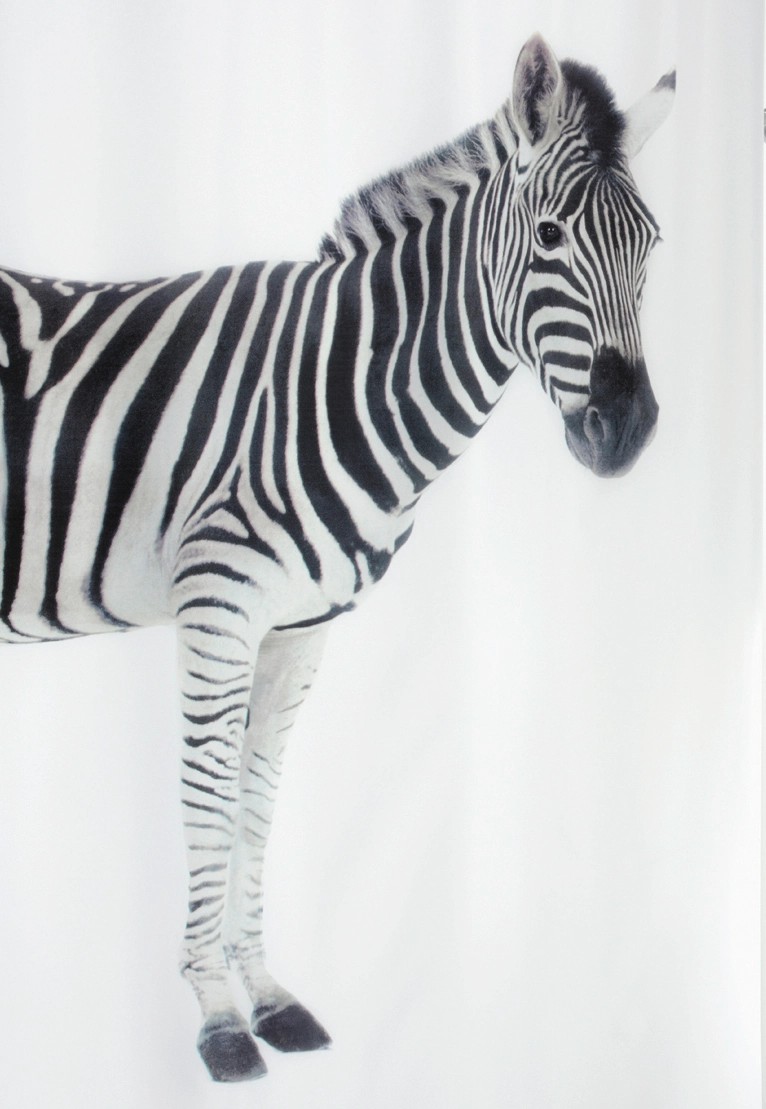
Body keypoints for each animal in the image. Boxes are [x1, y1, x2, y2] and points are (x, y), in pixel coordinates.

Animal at [0, 35, 673, 1083]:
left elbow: (257, 797)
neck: (333, 383)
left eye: (651, 247)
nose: (626, 429)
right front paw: (217, 1020)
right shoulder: (220, 605)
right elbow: (206, 797)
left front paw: (268, 997)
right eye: (552, 237)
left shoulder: (300, 625)